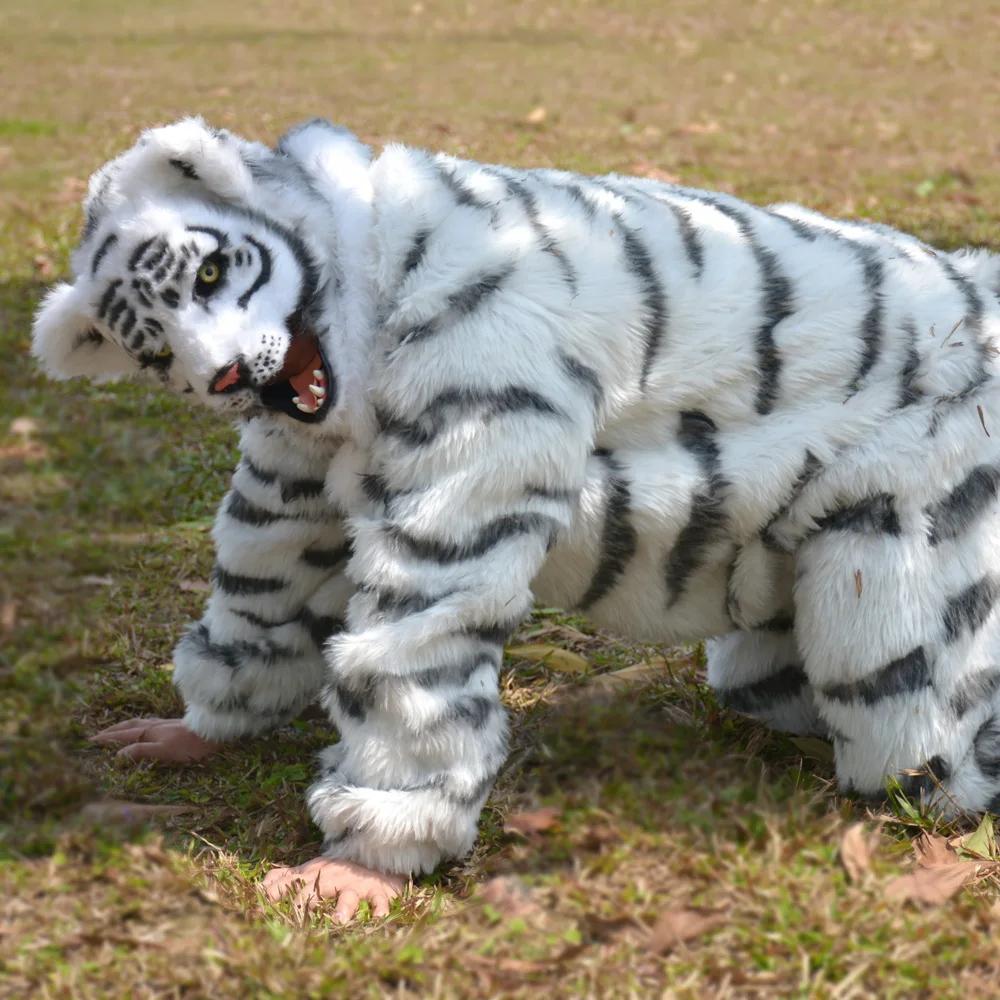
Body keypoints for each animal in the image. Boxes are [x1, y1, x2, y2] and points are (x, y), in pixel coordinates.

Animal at [32, 116, 1000, 891]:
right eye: (155, 349)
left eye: (209, 274)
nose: (227, 375)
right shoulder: (291, 486)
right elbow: (262, 600)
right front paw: (196, 730)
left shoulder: (478, 412)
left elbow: (412, 650)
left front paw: (360, 869)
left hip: (899, 583)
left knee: (918, 739)